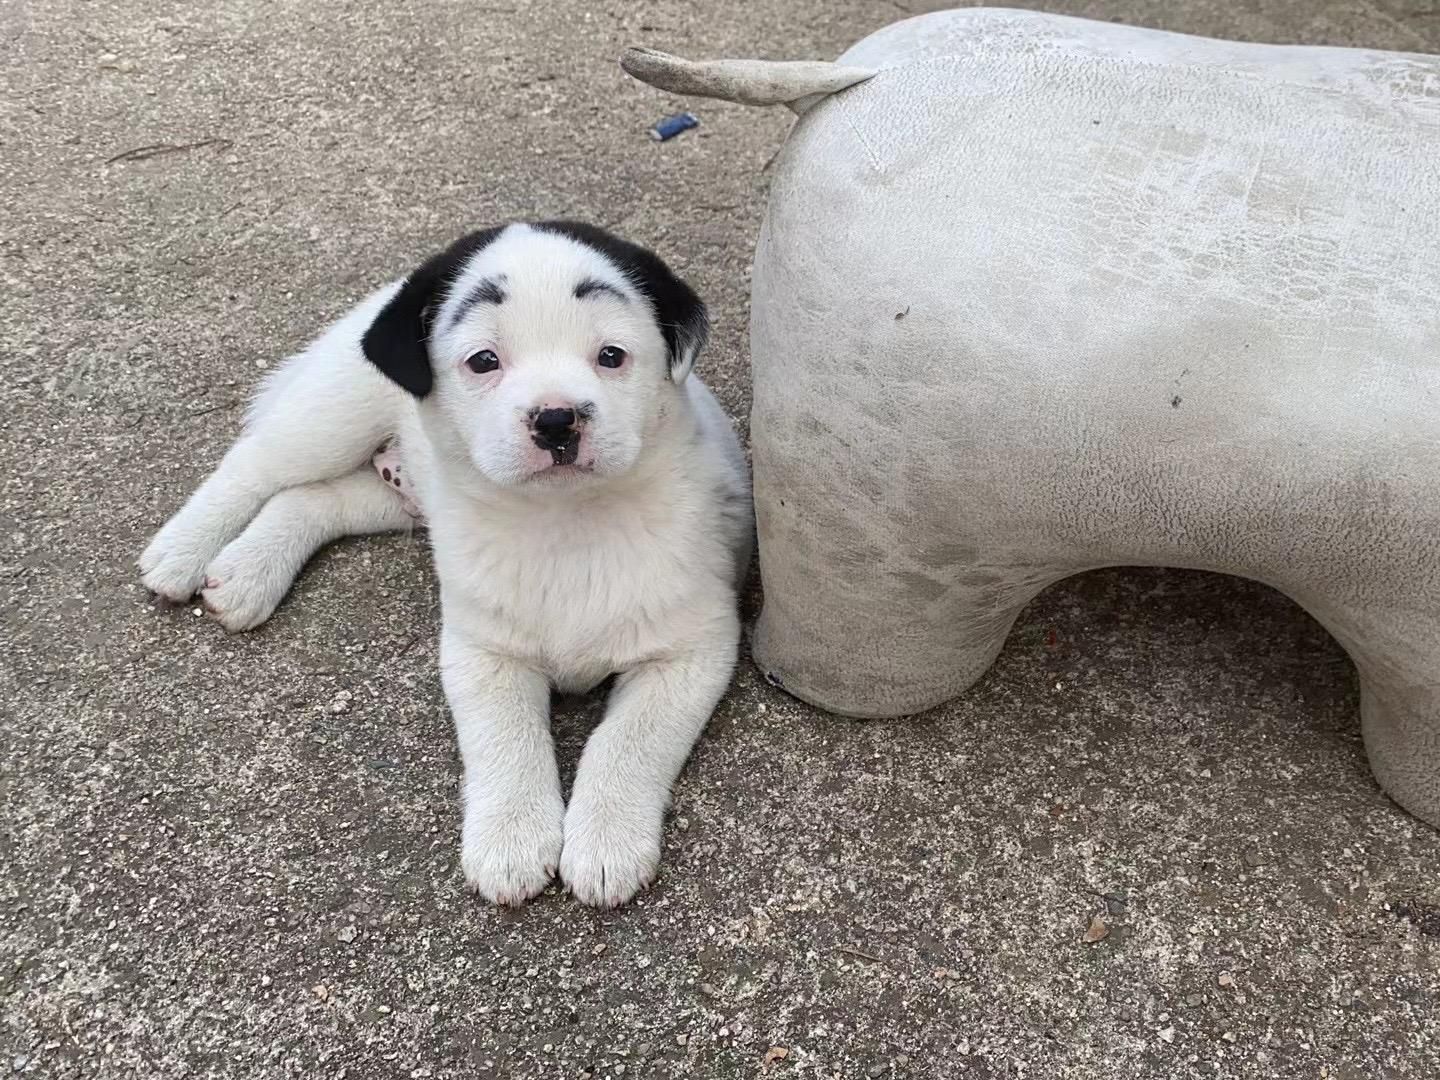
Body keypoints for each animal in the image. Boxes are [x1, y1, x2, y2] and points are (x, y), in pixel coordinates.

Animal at [137, 224, 754, 910]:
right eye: (484, 361)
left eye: (612, 355)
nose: (556, 420)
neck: (567, 521)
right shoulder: (483, 651)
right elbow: (506, 739)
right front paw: (511, 840)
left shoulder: (691, 652)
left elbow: (628, 741)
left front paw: (605, 842)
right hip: (334, 415)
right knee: (255, 466)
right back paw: (181, 551)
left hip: (398, 490)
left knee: (313, 498)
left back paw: (247, 571)